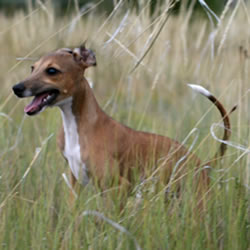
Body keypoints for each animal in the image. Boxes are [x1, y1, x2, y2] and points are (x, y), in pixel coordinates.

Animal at [12, 45, 232, 207]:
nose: (16, 88)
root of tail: (202, 164)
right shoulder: (75, 185)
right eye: (32, 68)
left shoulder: (119, 188)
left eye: (52, 70)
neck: (78, 126)